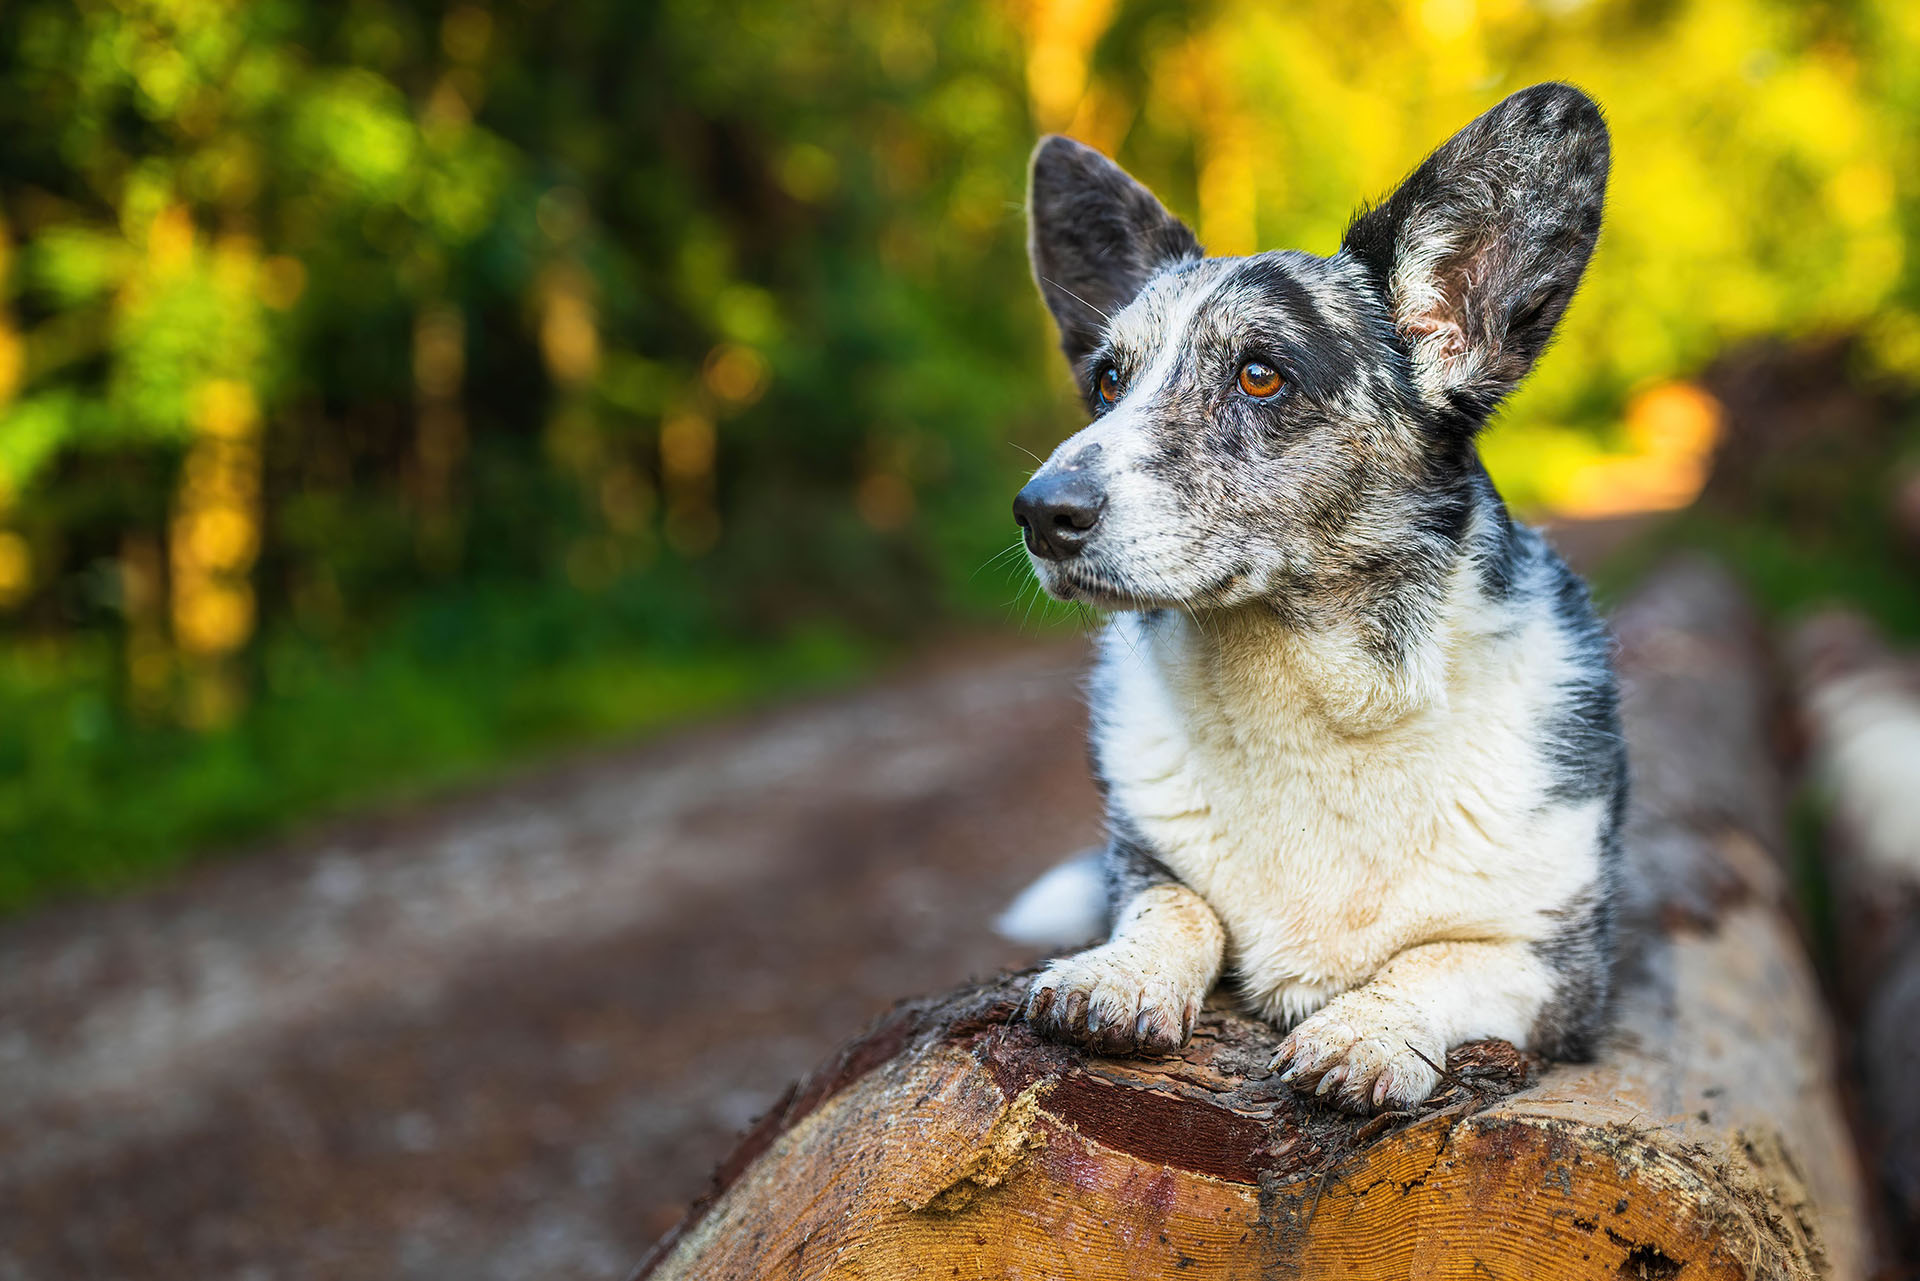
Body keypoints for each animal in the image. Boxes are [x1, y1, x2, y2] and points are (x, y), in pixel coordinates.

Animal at [998, 87, 1628, 1113]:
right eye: (1108, 382)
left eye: (1261, 374)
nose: (1040, 513)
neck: (1316, 700)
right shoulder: (1144, 866)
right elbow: (1176, 904)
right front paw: (1116, 977)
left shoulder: (1559, 970)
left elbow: (1438, 958)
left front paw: (1363, 1033)